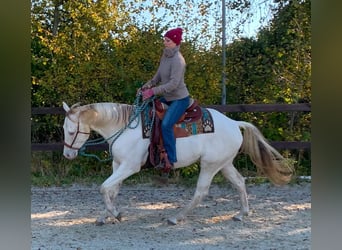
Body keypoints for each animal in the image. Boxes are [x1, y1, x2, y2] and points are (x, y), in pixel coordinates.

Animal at [62, 100, 294, 226]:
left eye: (71, 131)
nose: (68, 155)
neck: (124, 127)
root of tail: (234, 123)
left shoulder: (130, 166)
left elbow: (104, 188)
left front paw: (117, 214)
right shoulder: (118, 165)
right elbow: (112, 190)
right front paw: (105, 216)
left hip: (209, 165)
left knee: (201, 192)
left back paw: (175, 217)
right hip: (225, 164)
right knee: (239, 182)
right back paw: (241, 214)